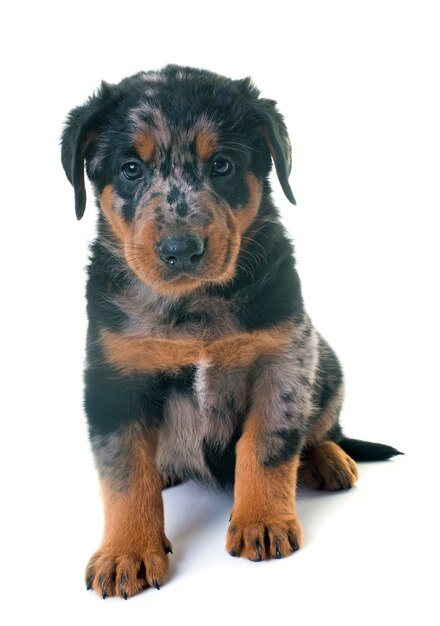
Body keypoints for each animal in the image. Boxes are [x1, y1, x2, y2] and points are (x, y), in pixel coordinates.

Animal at [61, 66, 402, 596]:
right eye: (130, 169)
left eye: (221, 165)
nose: (181, 249)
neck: (194, 307)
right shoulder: (114, 380)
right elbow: (124, 474)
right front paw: (126, 552)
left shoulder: (284, 359)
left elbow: (266, 447)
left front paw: (262, 522)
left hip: (327, 366)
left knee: (325, 428)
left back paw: (328, 459)